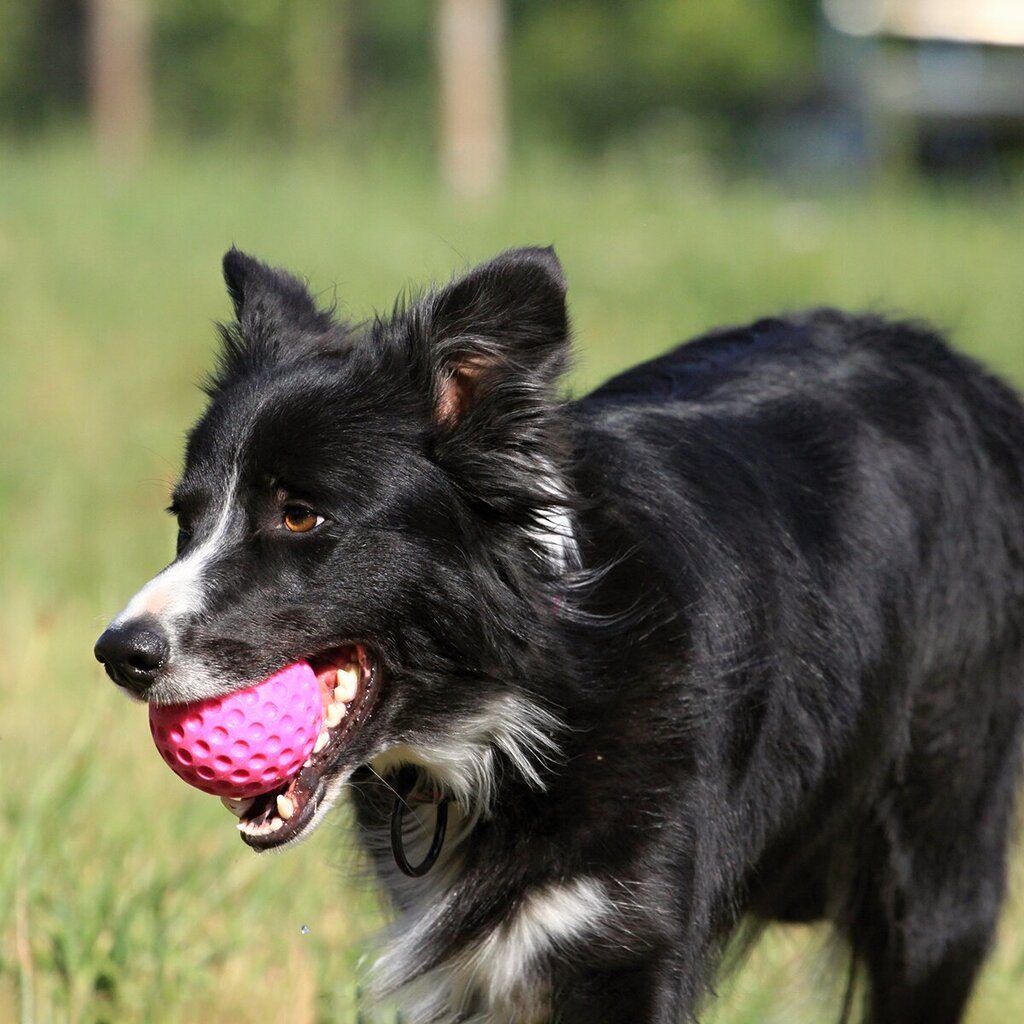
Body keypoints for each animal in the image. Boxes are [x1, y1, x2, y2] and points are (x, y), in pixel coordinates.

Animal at [97, 249, 1024, 1024]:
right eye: (185, 519)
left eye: (299, 516)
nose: (119, 654)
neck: (516, 707)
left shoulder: (621, 938)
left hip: (935, 876)